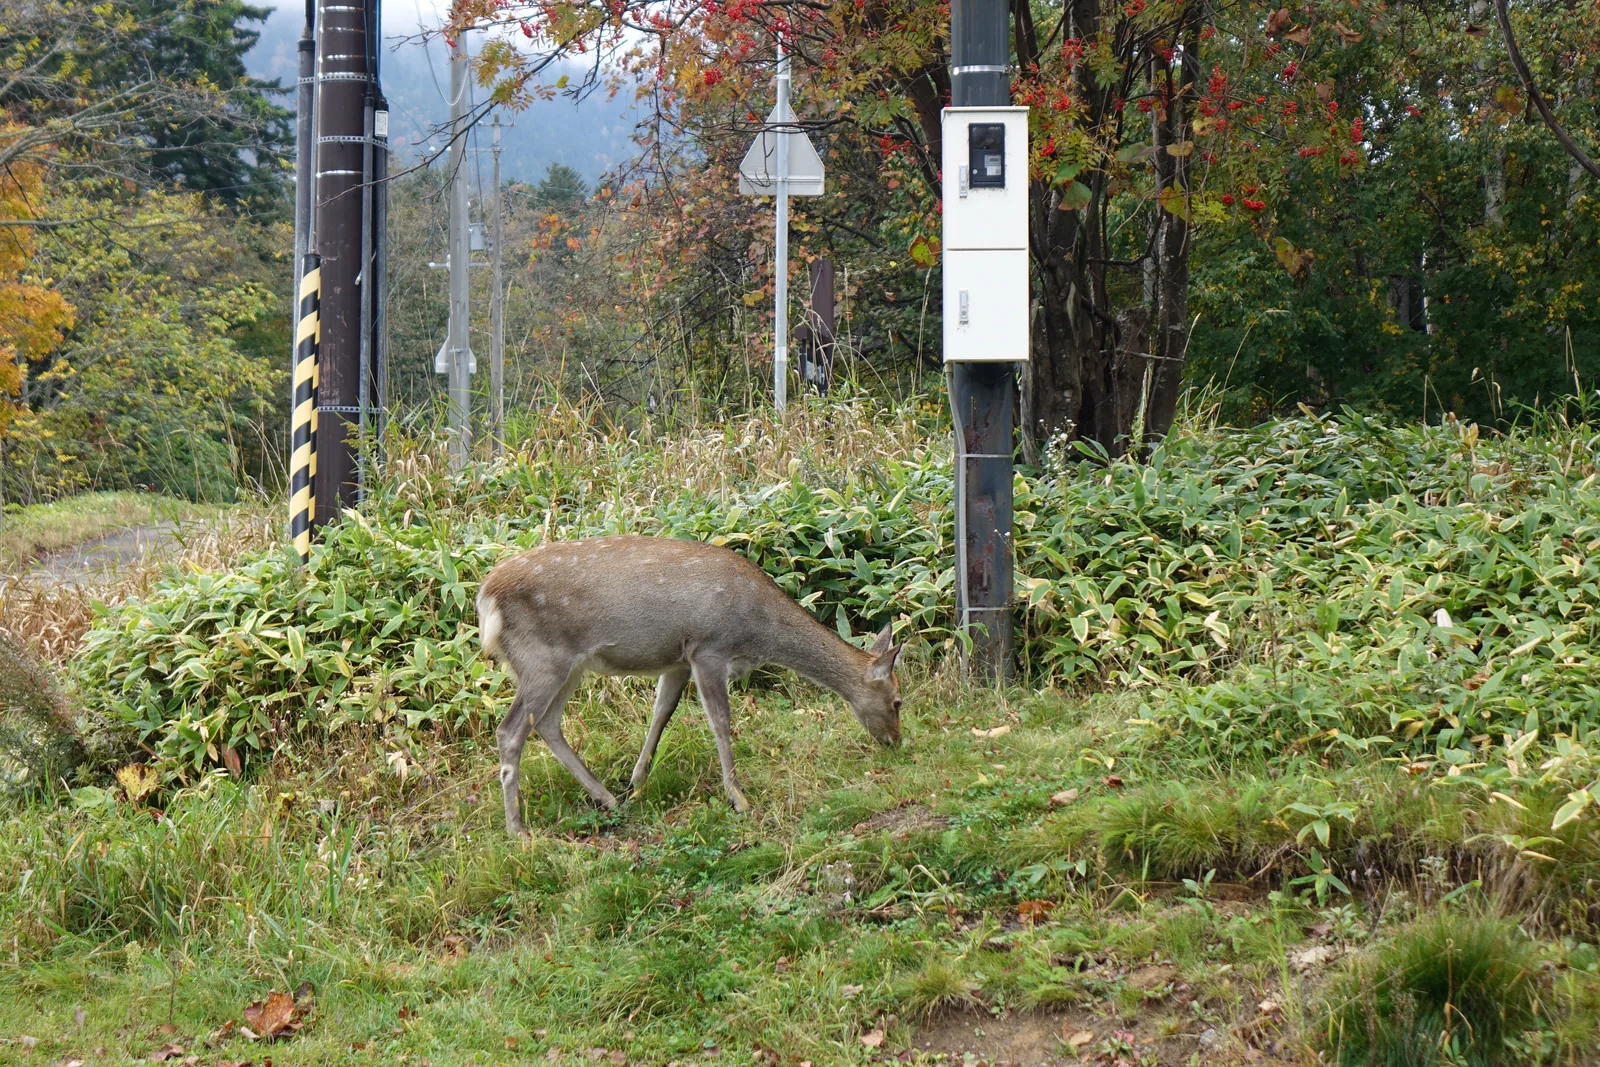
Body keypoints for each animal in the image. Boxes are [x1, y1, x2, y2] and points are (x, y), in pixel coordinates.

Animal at [476, 534, 903, 835]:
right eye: (899, 701)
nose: (896, 742)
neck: (760, 632)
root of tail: (485, 597)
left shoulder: (677, 661)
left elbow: (661, 713)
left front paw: (636, 783)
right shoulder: (708, 649)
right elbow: (721, 721)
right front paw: (739, 798)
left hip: (570, 665)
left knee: (547, 723)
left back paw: (607, 798)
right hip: (542, 658)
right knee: (510, 730)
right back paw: (518, 830)